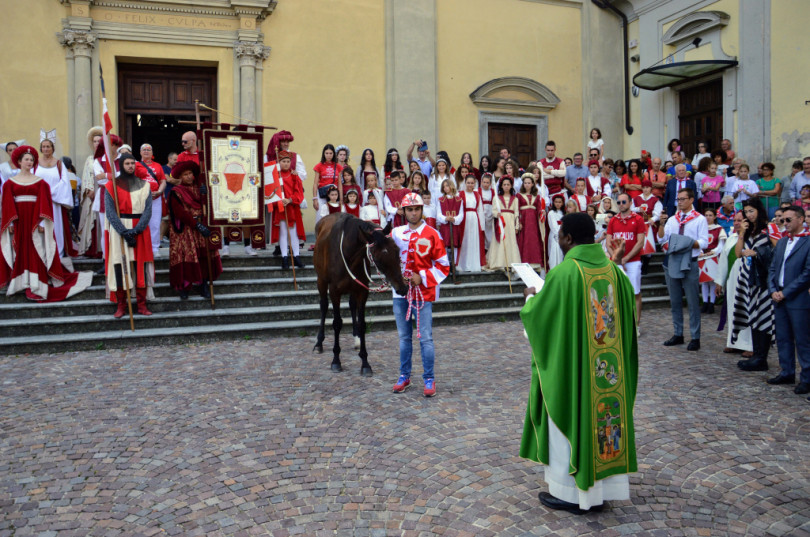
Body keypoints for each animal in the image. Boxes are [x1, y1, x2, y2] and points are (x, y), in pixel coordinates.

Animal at [312, 211, 408, 374]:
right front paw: (336, 360)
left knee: (352, 305)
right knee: (324, 306)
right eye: (378, 257)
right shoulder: (334, 291)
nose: (402, 287)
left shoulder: (362, 291)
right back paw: (319, 343)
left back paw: (356, 338)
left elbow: (362, 323)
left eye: (397, 250)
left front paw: (365, 362)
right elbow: (337, 323)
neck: (349, 253)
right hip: (321, 281)